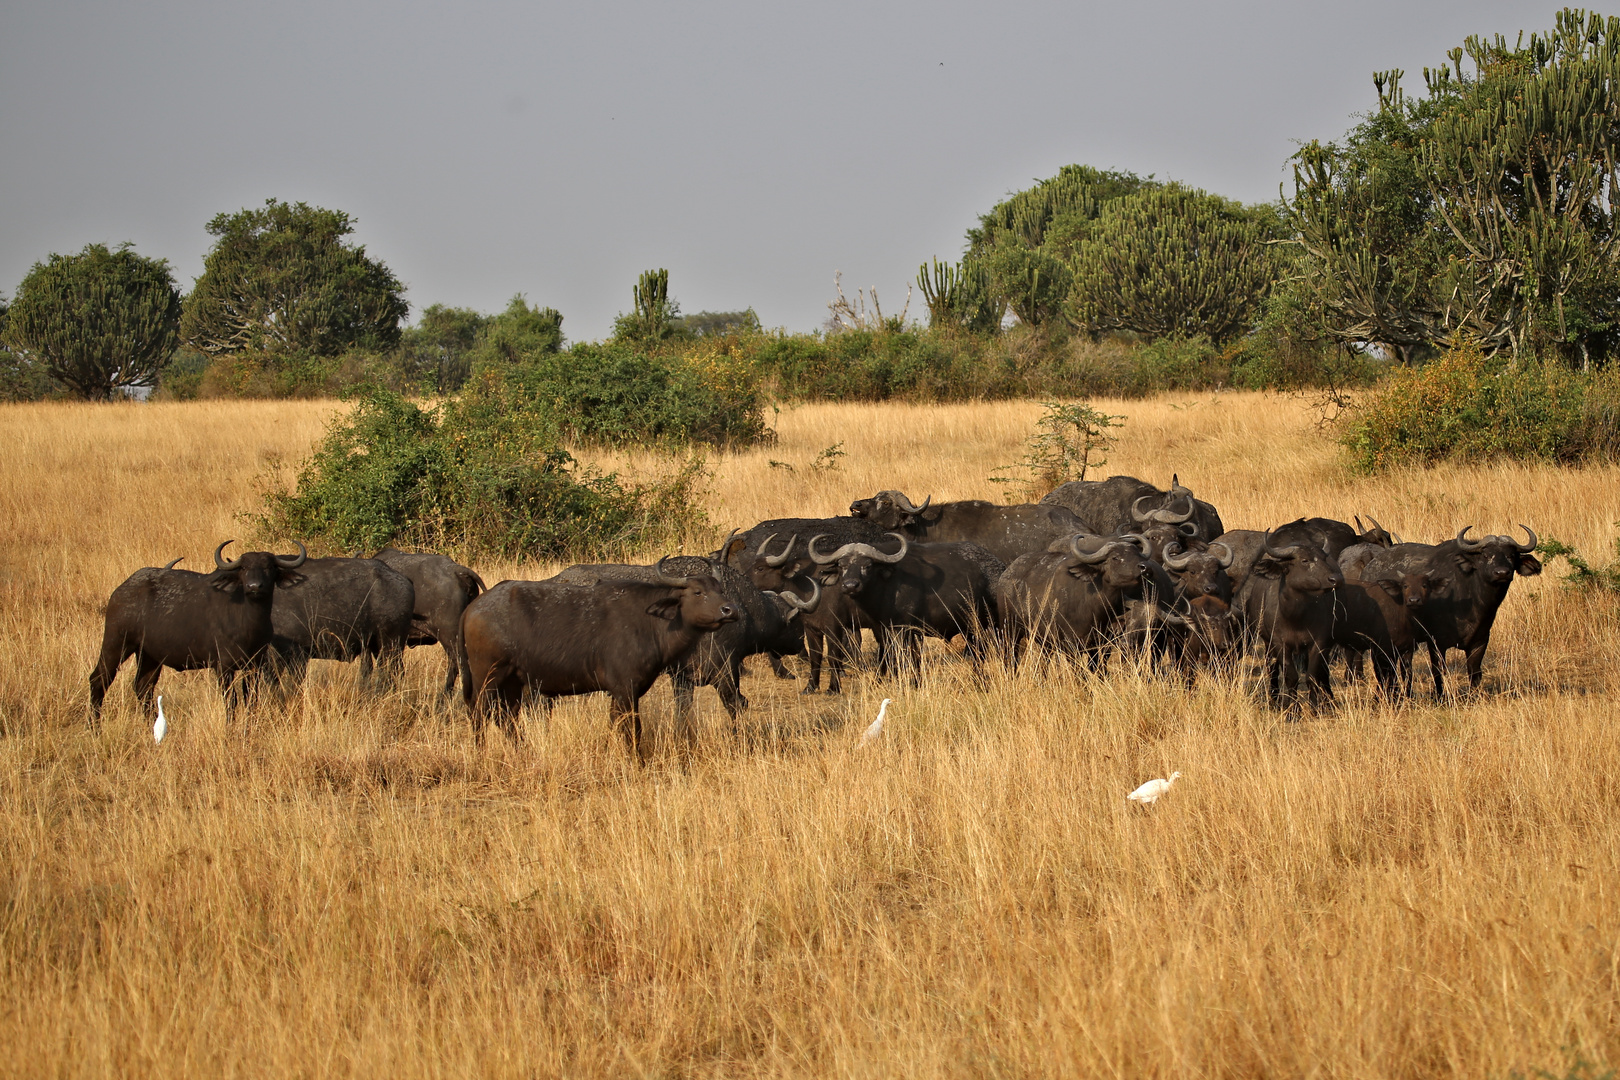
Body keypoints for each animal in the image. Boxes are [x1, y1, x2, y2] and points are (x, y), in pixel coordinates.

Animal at [463, 563, 741, 757]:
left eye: (720, 590)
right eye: (698, 592)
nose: (730, 610)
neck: (652, 622)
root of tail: (474, 607)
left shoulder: (620, 692)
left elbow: (614, 723)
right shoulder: (626, 688)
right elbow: (633, 728)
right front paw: (637, 761)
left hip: (512, 681)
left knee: (506, 717)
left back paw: (524, 750)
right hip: (487, 676)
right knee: (478, 712)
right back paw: (479, 752)